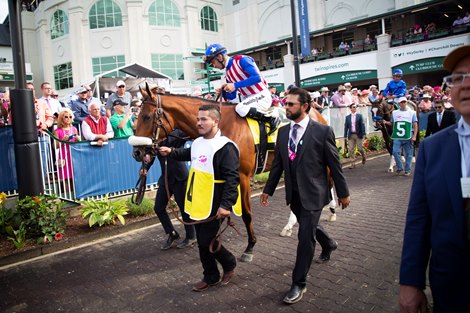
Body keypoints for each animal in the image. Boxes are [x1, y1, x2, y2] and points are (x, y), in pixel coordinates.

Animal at [129, 82, 326, 260]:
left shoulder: (242, 176)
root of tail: (316, 113)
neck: (221, 126)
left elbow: (246, 214)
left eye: (146, 117)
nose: (137, 153)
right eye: (136, 118)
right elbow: (220, 213)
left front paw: (250, 247)